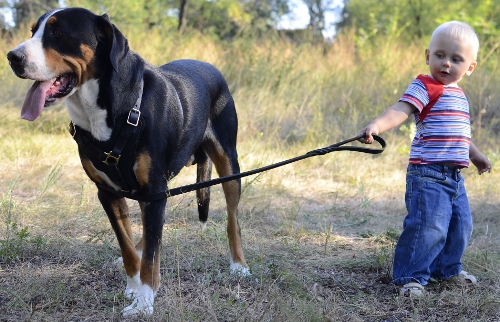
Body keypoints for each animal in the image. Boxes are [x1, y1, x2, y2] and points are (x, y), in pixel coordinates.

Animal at [6, 6, 249, 316]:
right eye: (33, 31)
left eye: (57, 32)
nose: (12, 57)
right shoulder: (109, 193)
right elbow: (129, 249)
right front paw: (134, 288)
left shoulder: (155, 192)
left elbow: (151, 258)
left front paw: (144, 302)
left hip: (229, 163)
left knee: (233, 219)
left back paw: (239, 266)